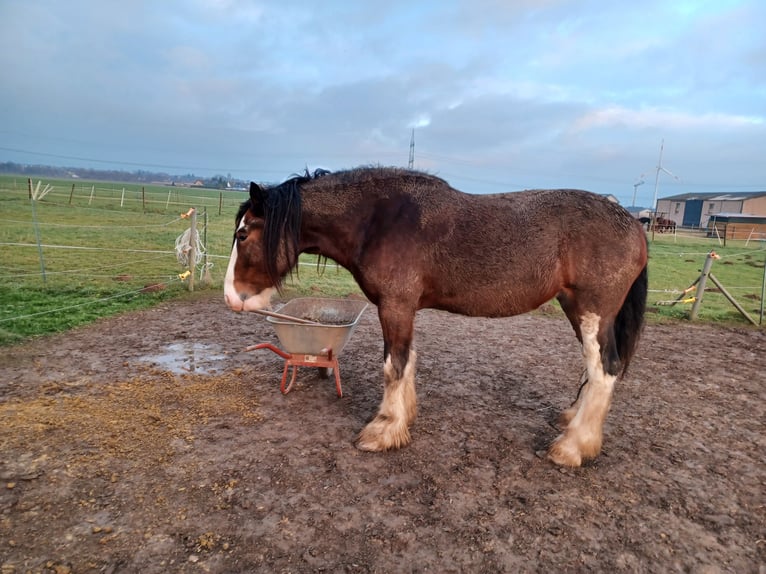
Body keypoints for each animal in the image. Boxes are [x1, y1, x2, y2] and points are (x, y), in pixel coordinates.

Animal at [224, 167, 648, 467]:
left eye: (244, 235)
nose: (231, 296)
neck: (378, 220)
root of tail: (631, 223)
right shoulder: (404, 309)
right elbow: (408, 362)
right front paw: (403, 418)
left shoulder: (394, 305)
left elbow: (393, 366)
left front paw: (382, 430)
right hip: (576, 309)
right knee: (594, 370)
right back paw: (572, 422)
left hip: (592, 311)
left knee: (604, 370)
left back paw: (572, 448)